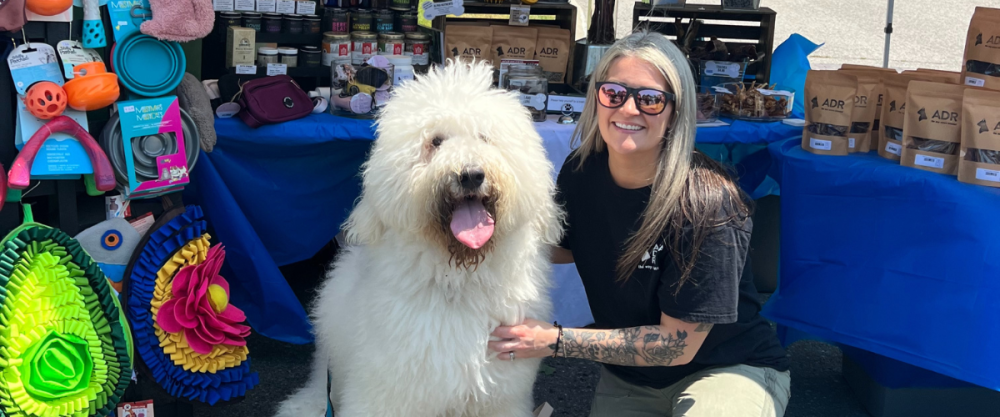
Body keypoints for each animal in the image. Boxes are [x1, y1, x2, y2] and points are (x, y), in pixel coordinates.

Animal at [276, 59, 564, 416]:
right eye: (436, 142)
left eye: (485, 137)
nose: (471, 175)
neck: (458, 280)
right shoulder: (387, 394)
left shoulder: (500, 397)